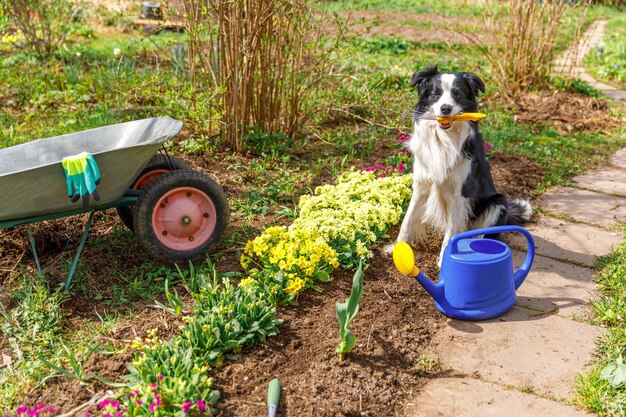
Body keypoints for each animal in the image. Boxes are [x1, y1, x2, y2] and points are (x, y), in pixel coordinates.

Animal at [388, 67, 528, 264]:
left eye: (458, 94)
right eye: (435, 93)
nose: (445, 108)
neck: (444, 137)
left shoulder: (460, 192)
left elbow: (451, 230)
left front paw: (443, 260)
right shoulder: (421, 185)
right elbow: (407, 220)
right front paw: (397, 249)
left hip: (497, 203)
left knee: (485, 233)